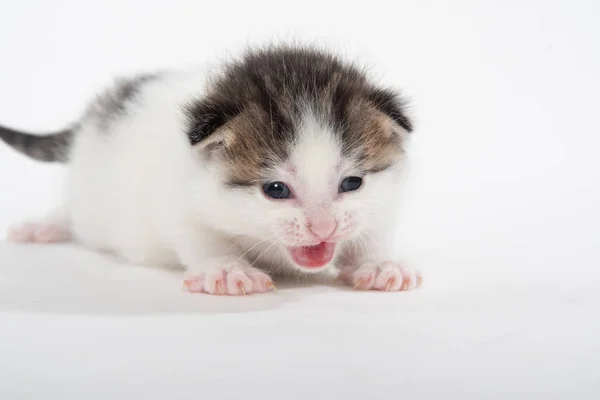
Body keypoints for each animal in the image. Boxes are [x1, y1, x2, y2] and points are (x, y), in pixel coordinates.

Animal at [0, 46, 422, 294]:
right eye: (276, 190)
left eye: (352, 183)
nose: (323, 228)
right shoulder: (179, 198)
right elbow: (203, 238)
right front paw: (227, 269)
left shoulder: (384, 201)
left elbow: (373, 231)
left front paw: (378, 263)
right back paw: (45, 225)